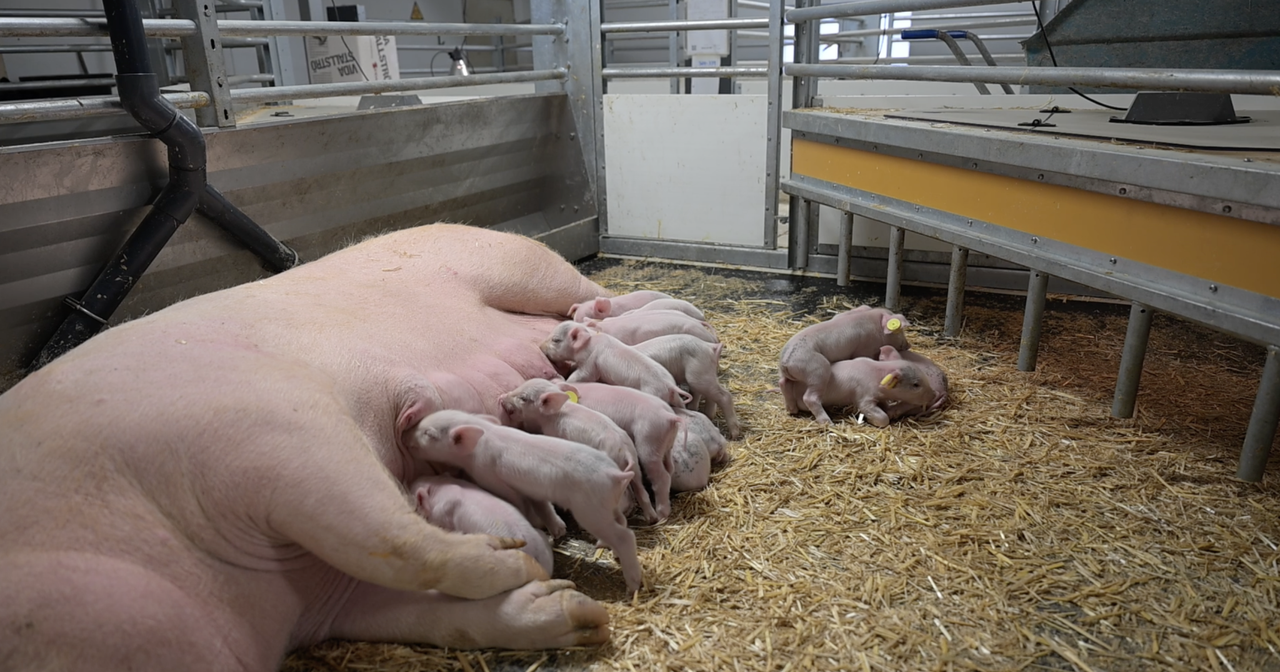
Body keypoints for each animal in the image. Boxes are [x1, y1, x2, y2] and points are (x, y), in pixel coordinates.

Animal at [500, 377, 660, 524]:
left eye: (523, 398)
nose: (501, 397)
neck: (554, 413)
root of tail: (625, 451)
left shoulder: (553, 432)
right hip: (636, 466)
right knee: (641, 491)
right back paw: (652, 519)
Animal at [541, 321, 691, 409]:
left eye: (556, 340)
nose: (541, 346)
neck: (588, 344)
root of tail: (670, 385)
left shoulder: (591, 362)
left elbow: (581, 375)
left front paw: (568, 379)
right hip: (675, 397)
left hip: (653, 391)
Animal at [551, 381, 683, 521]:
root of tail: (669, 416)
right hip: (666, 445)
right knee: (669, 468)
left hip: (649, 442)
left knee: (661, 477)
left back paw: (661, 515)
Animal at [778, 305, 911, 425]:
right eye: (899, 331)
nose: (908, 345)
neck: (871, 319)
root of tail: (786, 361)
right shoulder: (865, 349)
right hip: (817, 370)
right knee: (810, 398)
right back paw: (828, 423)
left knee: (783, 383)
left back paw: (792, 410)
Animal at [781, 355, 936, 428]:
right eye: (916, 384)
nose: (934, 395)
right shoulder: (863, 396)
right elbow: (880, 416)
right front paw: (872, 420)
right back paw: (828, 422)